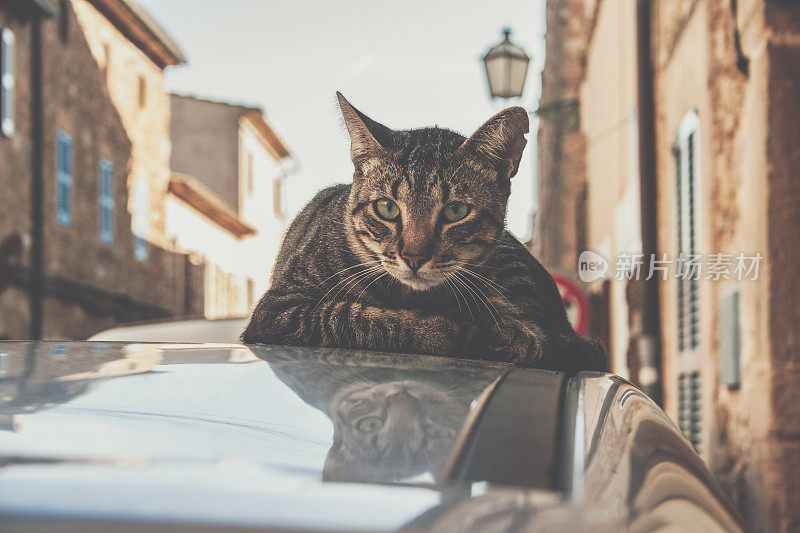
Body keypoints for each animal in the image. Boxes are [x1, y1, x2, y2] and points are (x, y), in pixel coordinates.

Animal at [244, 92, 608, 374]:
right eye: (387, 208)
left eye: (456, 211)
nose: (414, 257)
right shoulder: (279, 309)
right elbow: (353, 315)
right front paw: (444, 328)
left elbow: (531, 338)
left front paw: (500, 333)